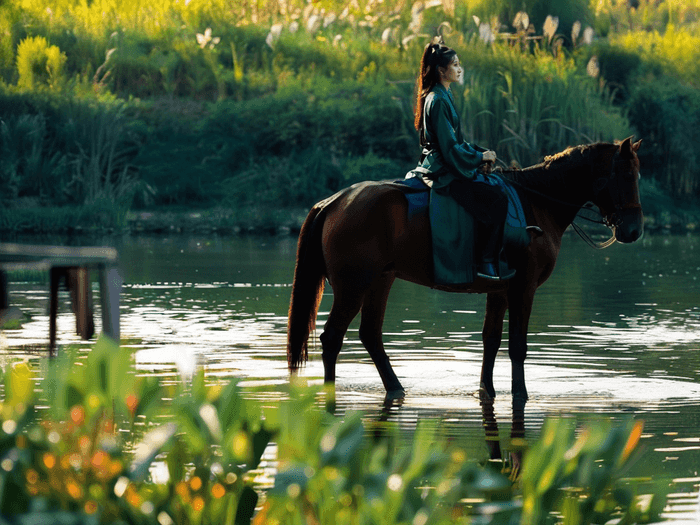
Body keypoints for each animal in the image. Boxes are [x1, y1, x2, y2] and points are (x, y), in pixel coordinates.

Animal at [288, 137, 644, 404]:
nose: (634, 229)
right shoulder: (523, 288)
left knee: (370, 335)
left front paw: (487, 390)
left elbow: (491, 341)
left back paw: (396, 388)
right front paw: (520, 394)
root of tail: (335, 201)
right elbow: (517, 346)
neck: (537, 203)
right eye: (627, 175)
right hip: (354, 286)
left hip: (380, 282)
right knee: (332, 337)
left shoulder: (500, 291)